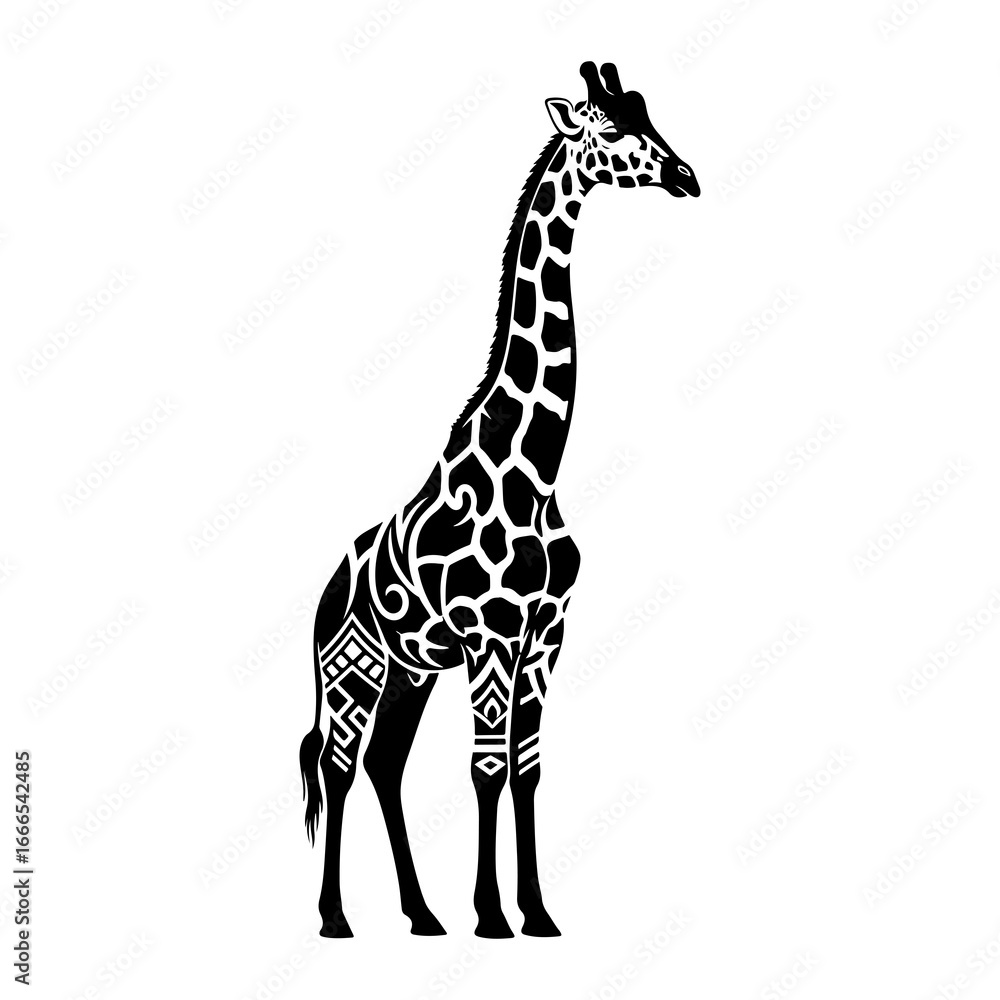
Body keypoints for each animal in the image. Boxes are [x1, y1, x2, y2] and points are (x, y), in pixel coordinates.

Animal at [299, 61, 699, 939]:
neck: (536, 473)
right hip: (351, 668)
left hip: (409, 672)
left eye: (649, 117)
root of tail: (322, 596)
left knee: (384, 765)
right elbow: (486, 768)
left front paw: (537, 913)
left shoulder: (546, 633)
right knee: (338, 765)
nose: (687, 177)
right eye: (611, 132)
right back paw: (336, 917)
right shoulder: (491, 634)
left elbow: (528, 769)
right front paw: (491, 914)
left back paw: (420, 914)